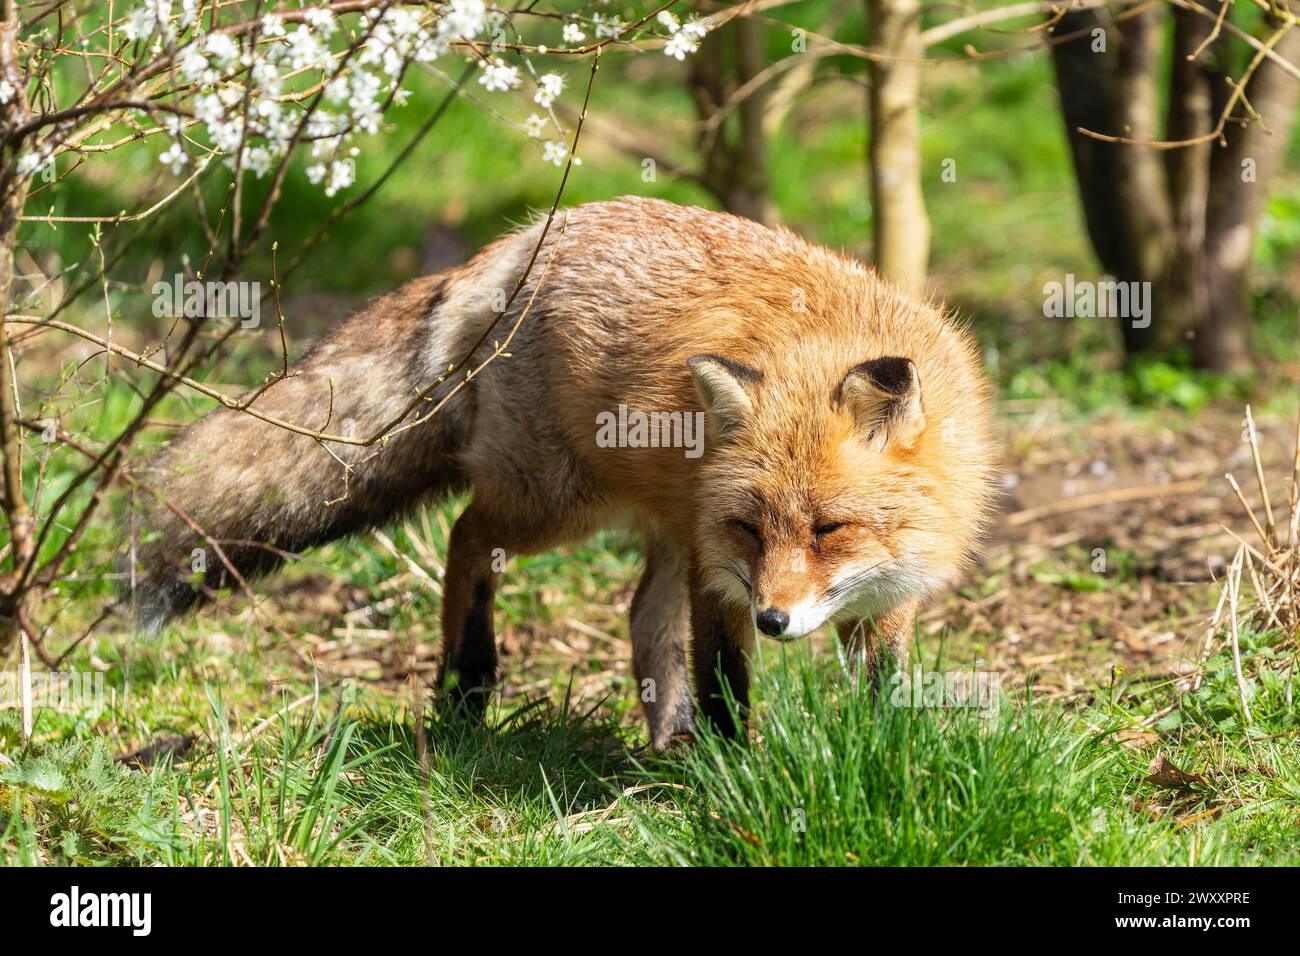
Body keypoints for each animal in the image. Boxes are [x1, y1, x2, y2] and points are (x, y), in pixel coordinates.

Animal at [131, 195, 993, 749]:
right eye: (752, 528)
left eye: (829, 529)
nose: (776, 620)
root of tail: (524, 239)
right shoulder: (724, 574)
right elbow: (725, 683)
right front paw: (733, 776)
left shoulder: (878, 596)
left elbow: (882, 692)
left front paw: (884, 759)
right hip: (557, 503)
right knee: (465, 536)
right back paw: (467, 686)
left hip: (666, 523)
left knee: (641, 620)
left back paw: (667, 737)